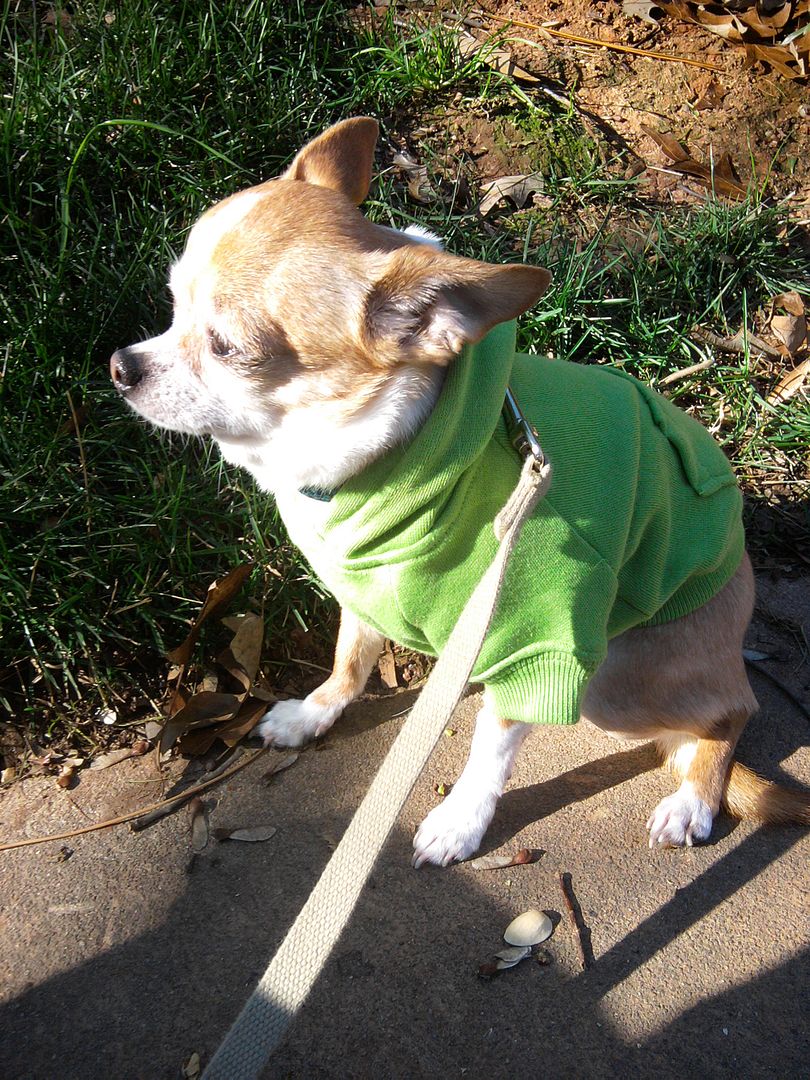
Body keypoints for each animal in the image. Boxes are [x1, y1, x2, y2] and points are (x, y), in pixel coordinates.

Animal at [112, 118, 810, 864]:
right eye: (172, 304)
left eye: (227, 347)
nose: (120, 364)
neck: (369, 463)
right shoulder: (362, 593)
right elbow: (350, 659)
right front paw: (313, 715)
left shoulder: (537, 641)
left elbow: (492, 746)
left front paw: (462, 821)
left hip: (618, 680)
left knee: (730, 713)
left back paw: (693, 800)